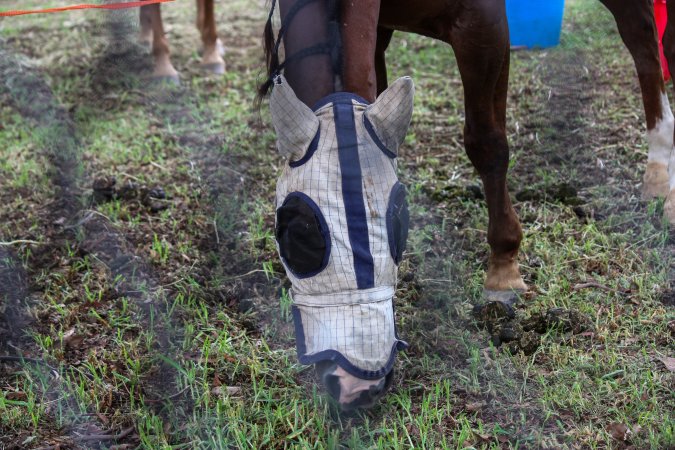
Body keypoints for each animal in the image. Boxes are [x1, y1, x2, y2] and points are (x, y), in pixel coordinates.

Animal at [259, 0, 675, 410]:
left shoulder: (483, 24)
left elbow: (486, 141)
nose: (354, 387)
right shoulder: (379, 30)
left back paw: (659, 169)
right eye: (291, 232)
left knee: (643, 39)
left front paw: (504, 264)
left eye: (396, 220)